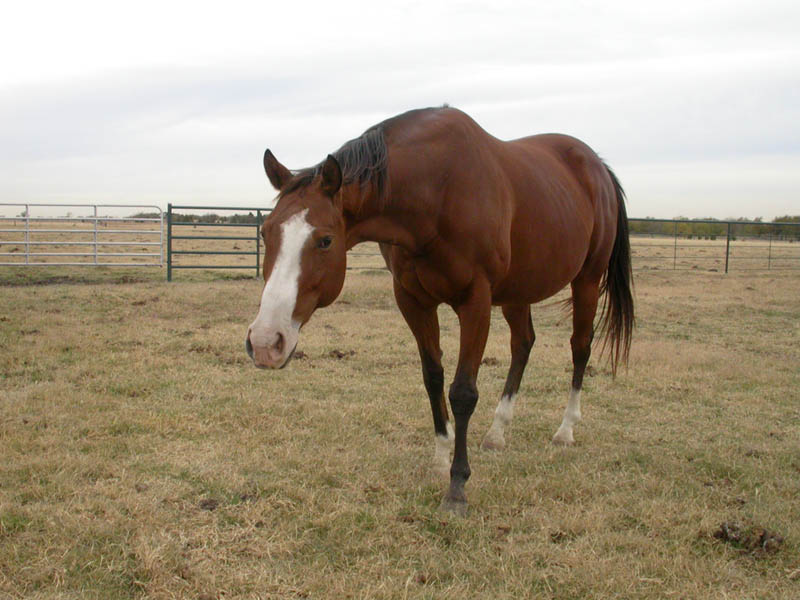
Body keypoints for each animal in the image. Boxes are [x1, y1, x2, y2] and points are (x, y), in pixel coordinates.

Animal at [245, 106, 634, 514]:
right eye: (266, 233)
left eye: (324, 240)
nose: (265, 342)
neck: (436, 192)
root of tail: (597, 166)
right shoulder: (413, 300)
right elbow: (432, 377)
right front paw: (439, 457)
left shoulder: (476, 301)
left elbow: (462, 391)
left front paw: (457, 484)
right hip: (518, 291)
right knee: (523, 345)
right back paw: (497, 432)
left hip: (586, 280)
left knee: (580, 347)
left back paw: (566, 429)